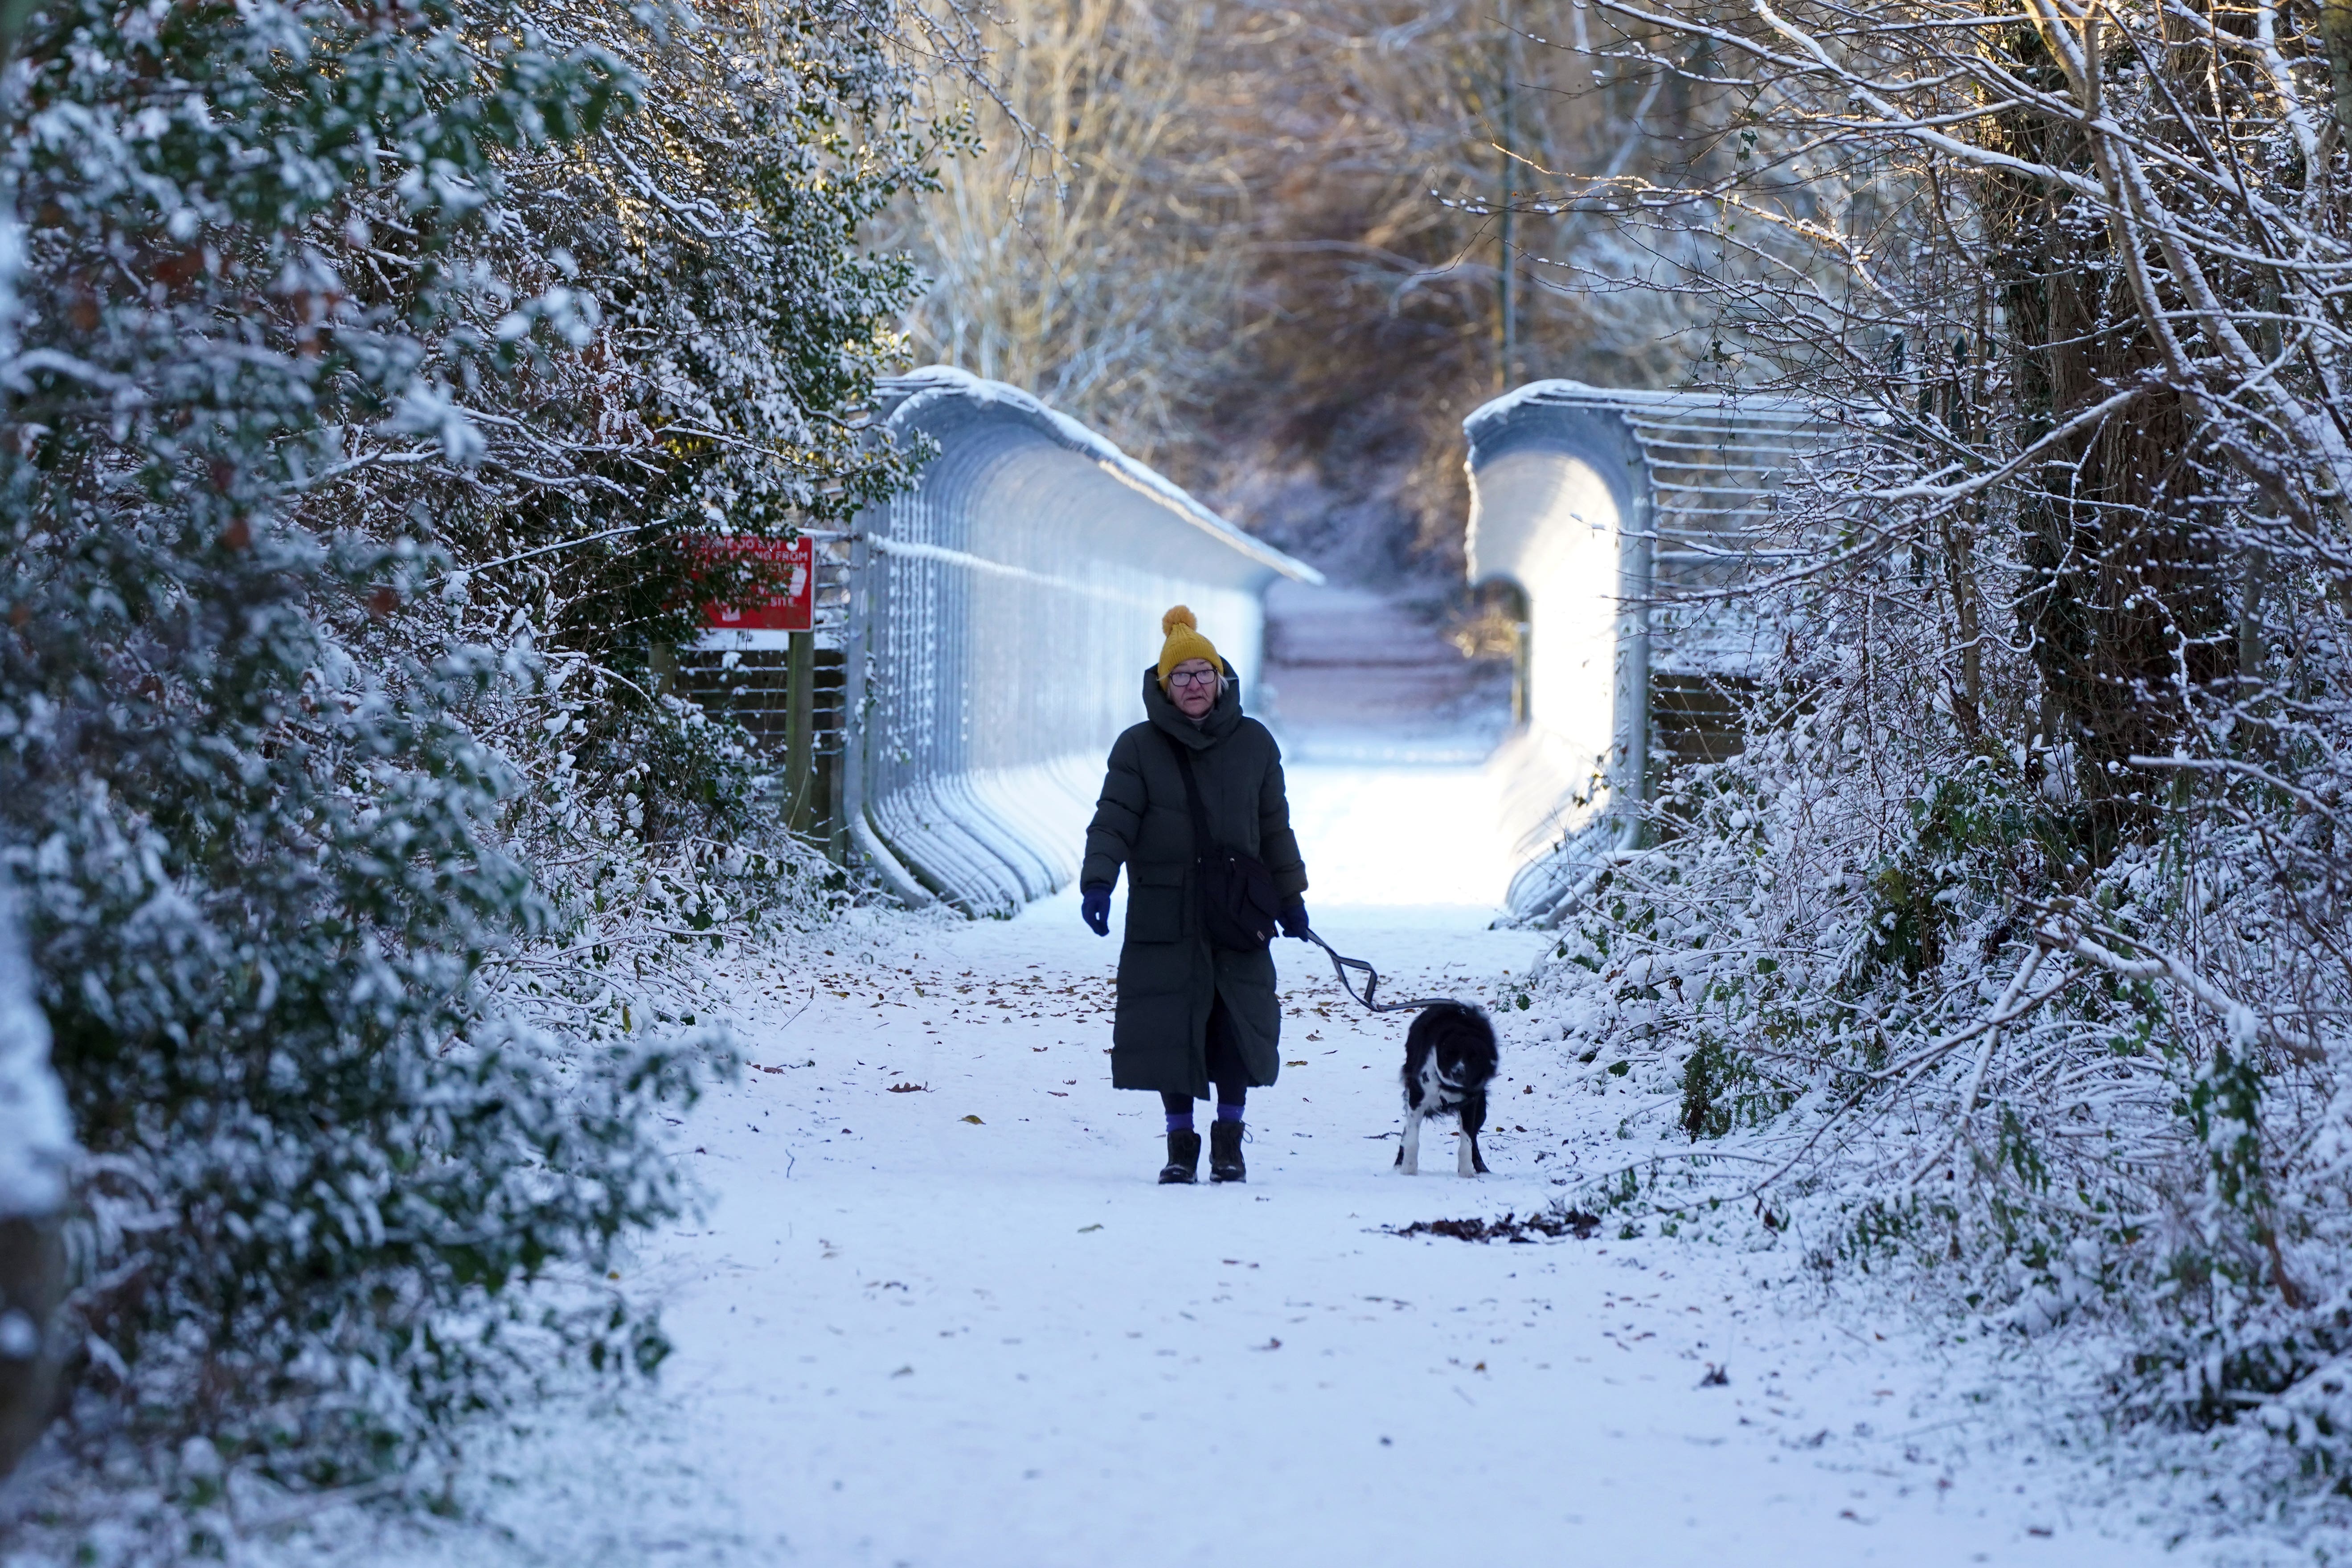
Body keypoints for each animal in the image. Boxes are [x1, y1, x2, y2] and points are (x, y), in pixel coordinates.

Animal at [1383, 1006, 1496, 1175]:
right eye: (1449, 1054)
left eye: (1474, 1058)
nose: (1458, 1073)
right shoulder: (1417, 1098)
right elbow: (1411, 1139)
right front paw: (1409, 1170)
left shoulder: (1470, 1104)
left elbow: (1467, 1143)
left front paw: (1466, 1173)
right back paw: (1399, 1164)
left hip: (1481, 1110)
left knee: (1474, 1138)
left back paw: (1481, 1167)